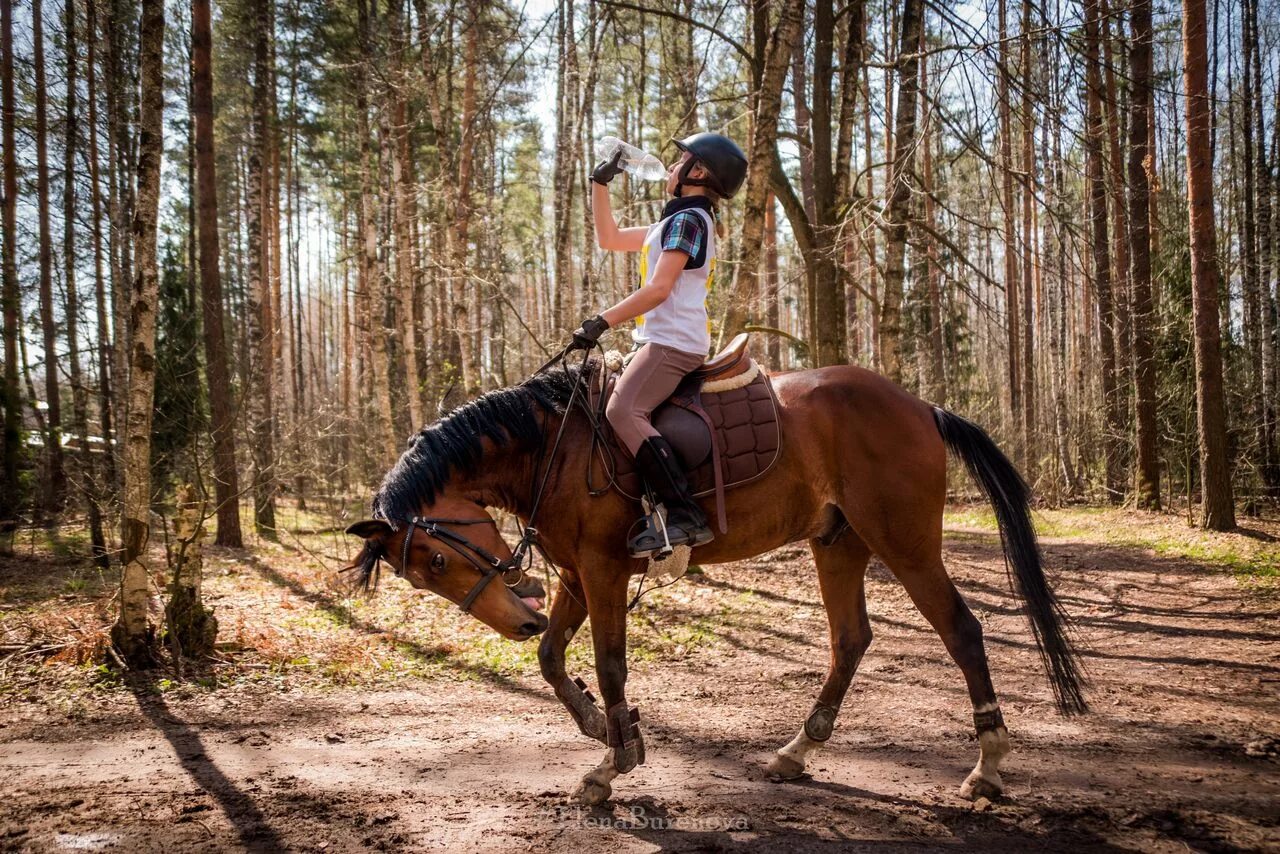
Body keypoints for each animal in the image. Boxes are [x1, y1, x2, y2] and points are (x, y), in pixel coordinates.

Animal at [345, 355, 1085, 809]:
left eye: (436, 563)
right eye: (424, 579)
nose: (513, 619)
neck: (552, 447)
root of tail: (921, 406)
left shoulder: (603, 570)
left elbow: (608, 666)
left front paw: (613, 761)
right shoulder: (579, 575)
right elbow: (554, 658)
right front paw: (599, 725)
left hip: (902, 542)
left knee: (961, 631)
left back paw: (987, 766)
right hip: (838, 543)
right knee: (850, 639)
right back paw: (795, 752)